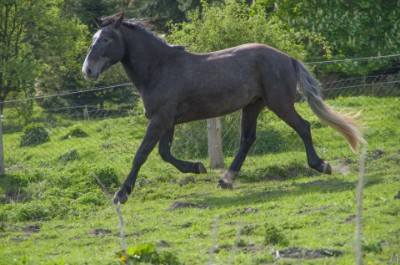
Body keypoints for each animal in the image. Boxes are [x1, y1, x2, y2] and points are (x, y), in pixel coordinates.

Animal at [82, 12, 366, 204]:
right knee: (247, 140)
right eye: (94, 38)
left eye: (107, 39)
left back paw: (321, 165)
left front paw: (121, 194)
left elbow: (142, 154)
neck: (159, 70)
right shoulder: (166, 121)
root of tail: (286, 58)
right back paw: (225, 180)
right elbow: (164, 153)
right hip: (252, 106)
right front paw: (198, 167)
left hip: (279, 103)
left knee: (303, 127)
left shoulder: (160, 120)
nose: (88, 70)